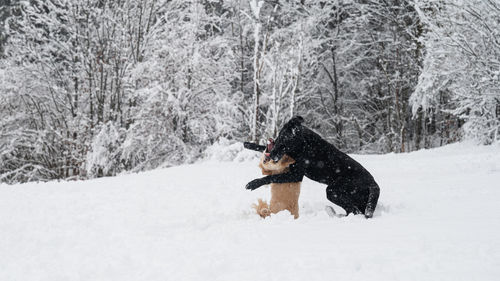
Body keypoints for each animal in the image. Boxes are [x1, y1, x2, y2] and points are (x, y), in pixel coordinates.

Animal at [245, 115, 378, 218]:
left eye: (285, 145)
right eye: (279, 140)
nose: (272, 157)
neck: (302, 144)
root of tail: (373, 183)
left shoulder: (296, 175)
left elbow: (271, 177)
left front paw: (253, 183)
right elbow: (261, 147)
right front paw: (248, 144)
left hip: (333, 191)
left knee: (354, 211)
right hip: (358, 200)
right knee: (356, 210)